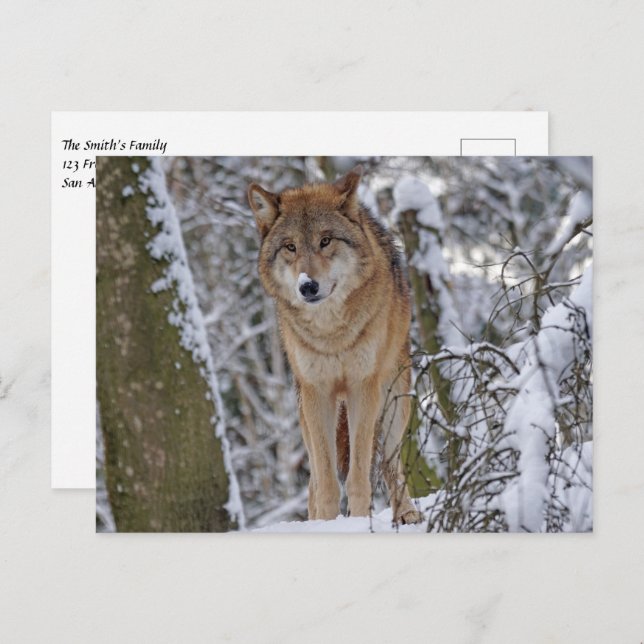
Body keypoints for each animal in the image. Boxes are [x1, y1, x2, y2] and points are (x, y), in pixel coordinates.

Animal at [248, 166, 422, 524]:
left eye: (325, 241)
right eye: (290, 247)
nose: (307, 286)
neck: (332, 333)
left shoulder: (362, 387)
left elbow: (358, 474)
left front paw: (358, 519)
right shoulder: (317, 392)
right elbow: (326, 480)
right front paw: (327, 523)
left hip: (394, 403)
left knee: (390, 463)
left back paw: (406, 513)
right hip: (305, 414)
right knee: (313, 480)